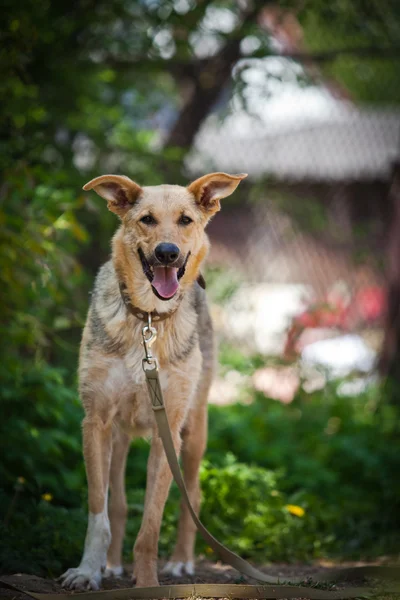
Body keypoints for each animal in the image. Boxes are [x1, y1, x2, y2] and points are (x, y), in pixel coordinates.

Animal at [59, 170, 247, 592]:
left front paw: (147, 582)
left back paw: (180, 561)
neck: (147, 318)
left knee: (192, 494)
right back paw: (111, 565)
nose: (167, 253)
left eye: (185, 220)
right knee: (117, 503)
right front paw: (88, 570)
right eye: (146, 219)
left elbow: (150, 527)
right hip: (119, 437)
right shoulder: (96, 422)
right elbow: (99, 511)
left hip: (194, 432)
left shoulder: (169, 432)